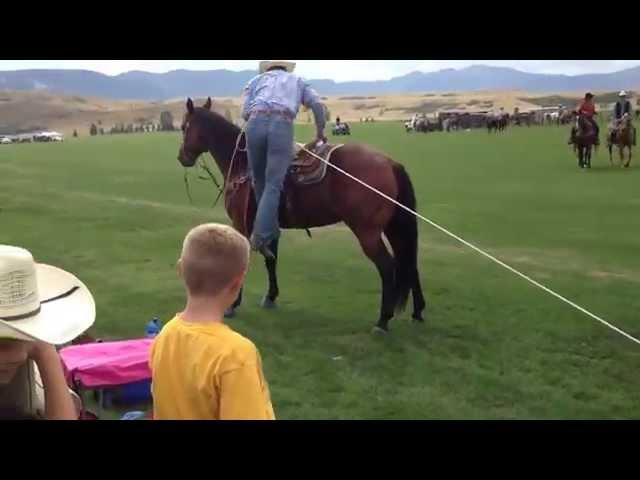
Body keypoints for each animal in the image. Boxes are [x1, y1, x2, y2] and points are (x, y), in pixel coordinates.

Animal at [176, 99, 424, 332]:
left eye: (184, 126)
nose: (182, 157)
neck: (242, 164)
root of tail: (390, 162)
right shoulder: (269, 227)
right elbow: (271, 260)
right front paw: (270, 296)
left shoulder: (241, 226)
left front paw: (232, 305)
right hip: (393, 228)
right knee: (409, 262)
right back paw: (418, 311)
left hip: (368, 233)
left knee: (388, 267)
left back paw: (383, 320)